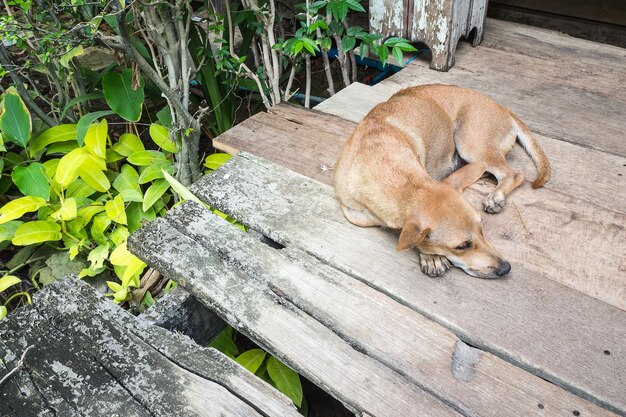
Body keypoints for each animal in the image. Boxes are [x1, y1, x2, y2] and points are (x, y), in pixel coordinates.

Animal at [334, 84, 548, 278]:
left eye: (482, 230)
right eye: (462, 246)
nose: (506, 268)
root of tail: (502, 107)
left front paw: (431, 257)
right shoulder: (353, 211)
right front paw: (431, 256)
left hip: (470, 143)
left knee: (513, 174)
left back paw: (496, 196)